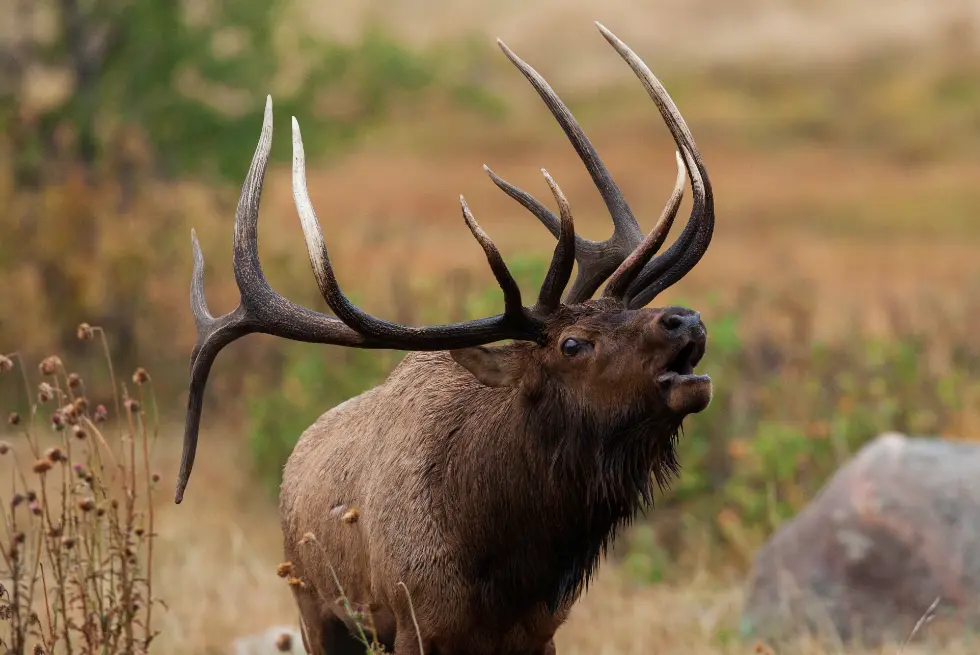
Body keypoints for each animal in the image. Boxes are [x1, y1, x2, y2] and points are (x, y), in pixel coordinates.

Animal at [174, 23, 715, 655]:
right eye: (572, 344)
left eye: (629, 309)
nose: (685, 319)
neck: (507, 560)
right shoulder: (418, 622)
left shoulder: (542, 631)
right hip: (314, 608)